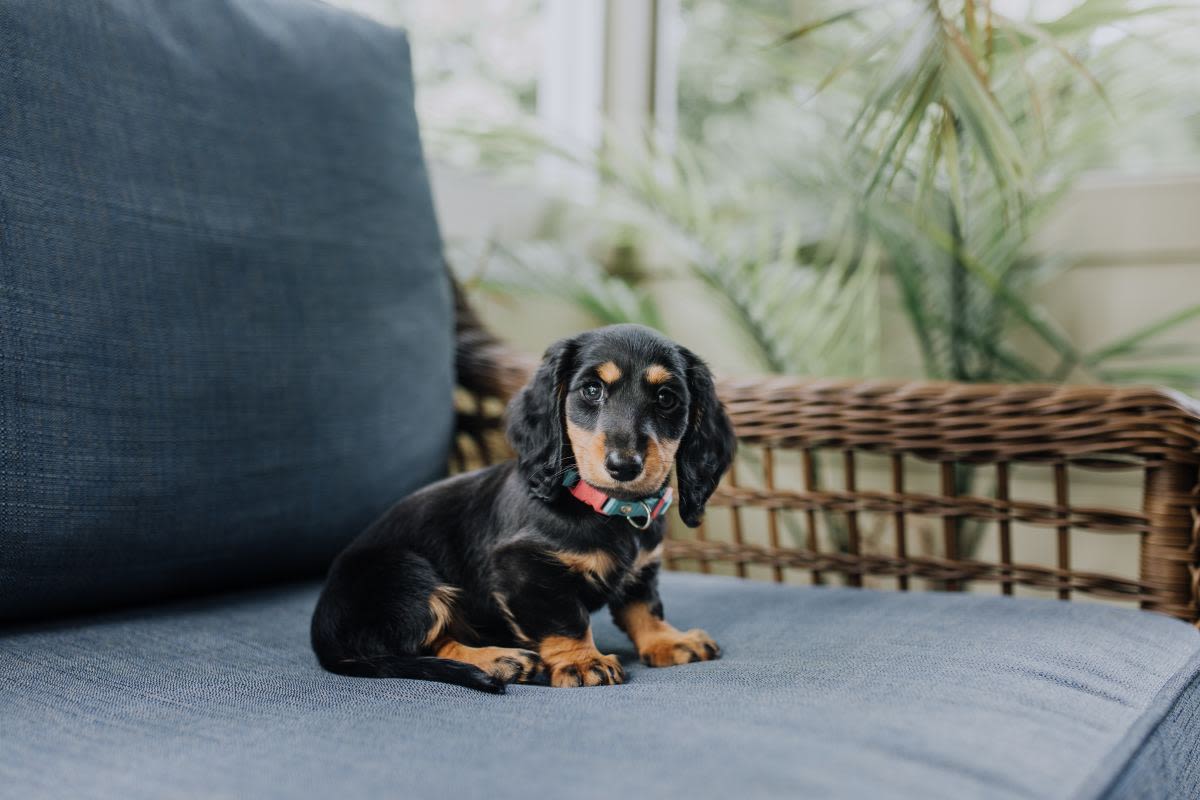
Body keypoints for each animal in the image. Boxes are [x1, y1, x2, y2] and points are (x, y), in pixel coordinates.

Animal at [309, 326, 734, 695]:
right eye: (592, 390)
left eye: (666, 398)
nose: (624, 466)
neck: (604, 506)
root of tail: (323, 637)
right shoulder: (525, 568)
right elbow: (564, 619)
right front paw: (582, 661)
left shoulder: (642, 569)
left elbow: (644, 607)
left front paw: (668, 641)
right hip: (404, 574)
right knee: (425, 644)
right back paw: (500, 660)